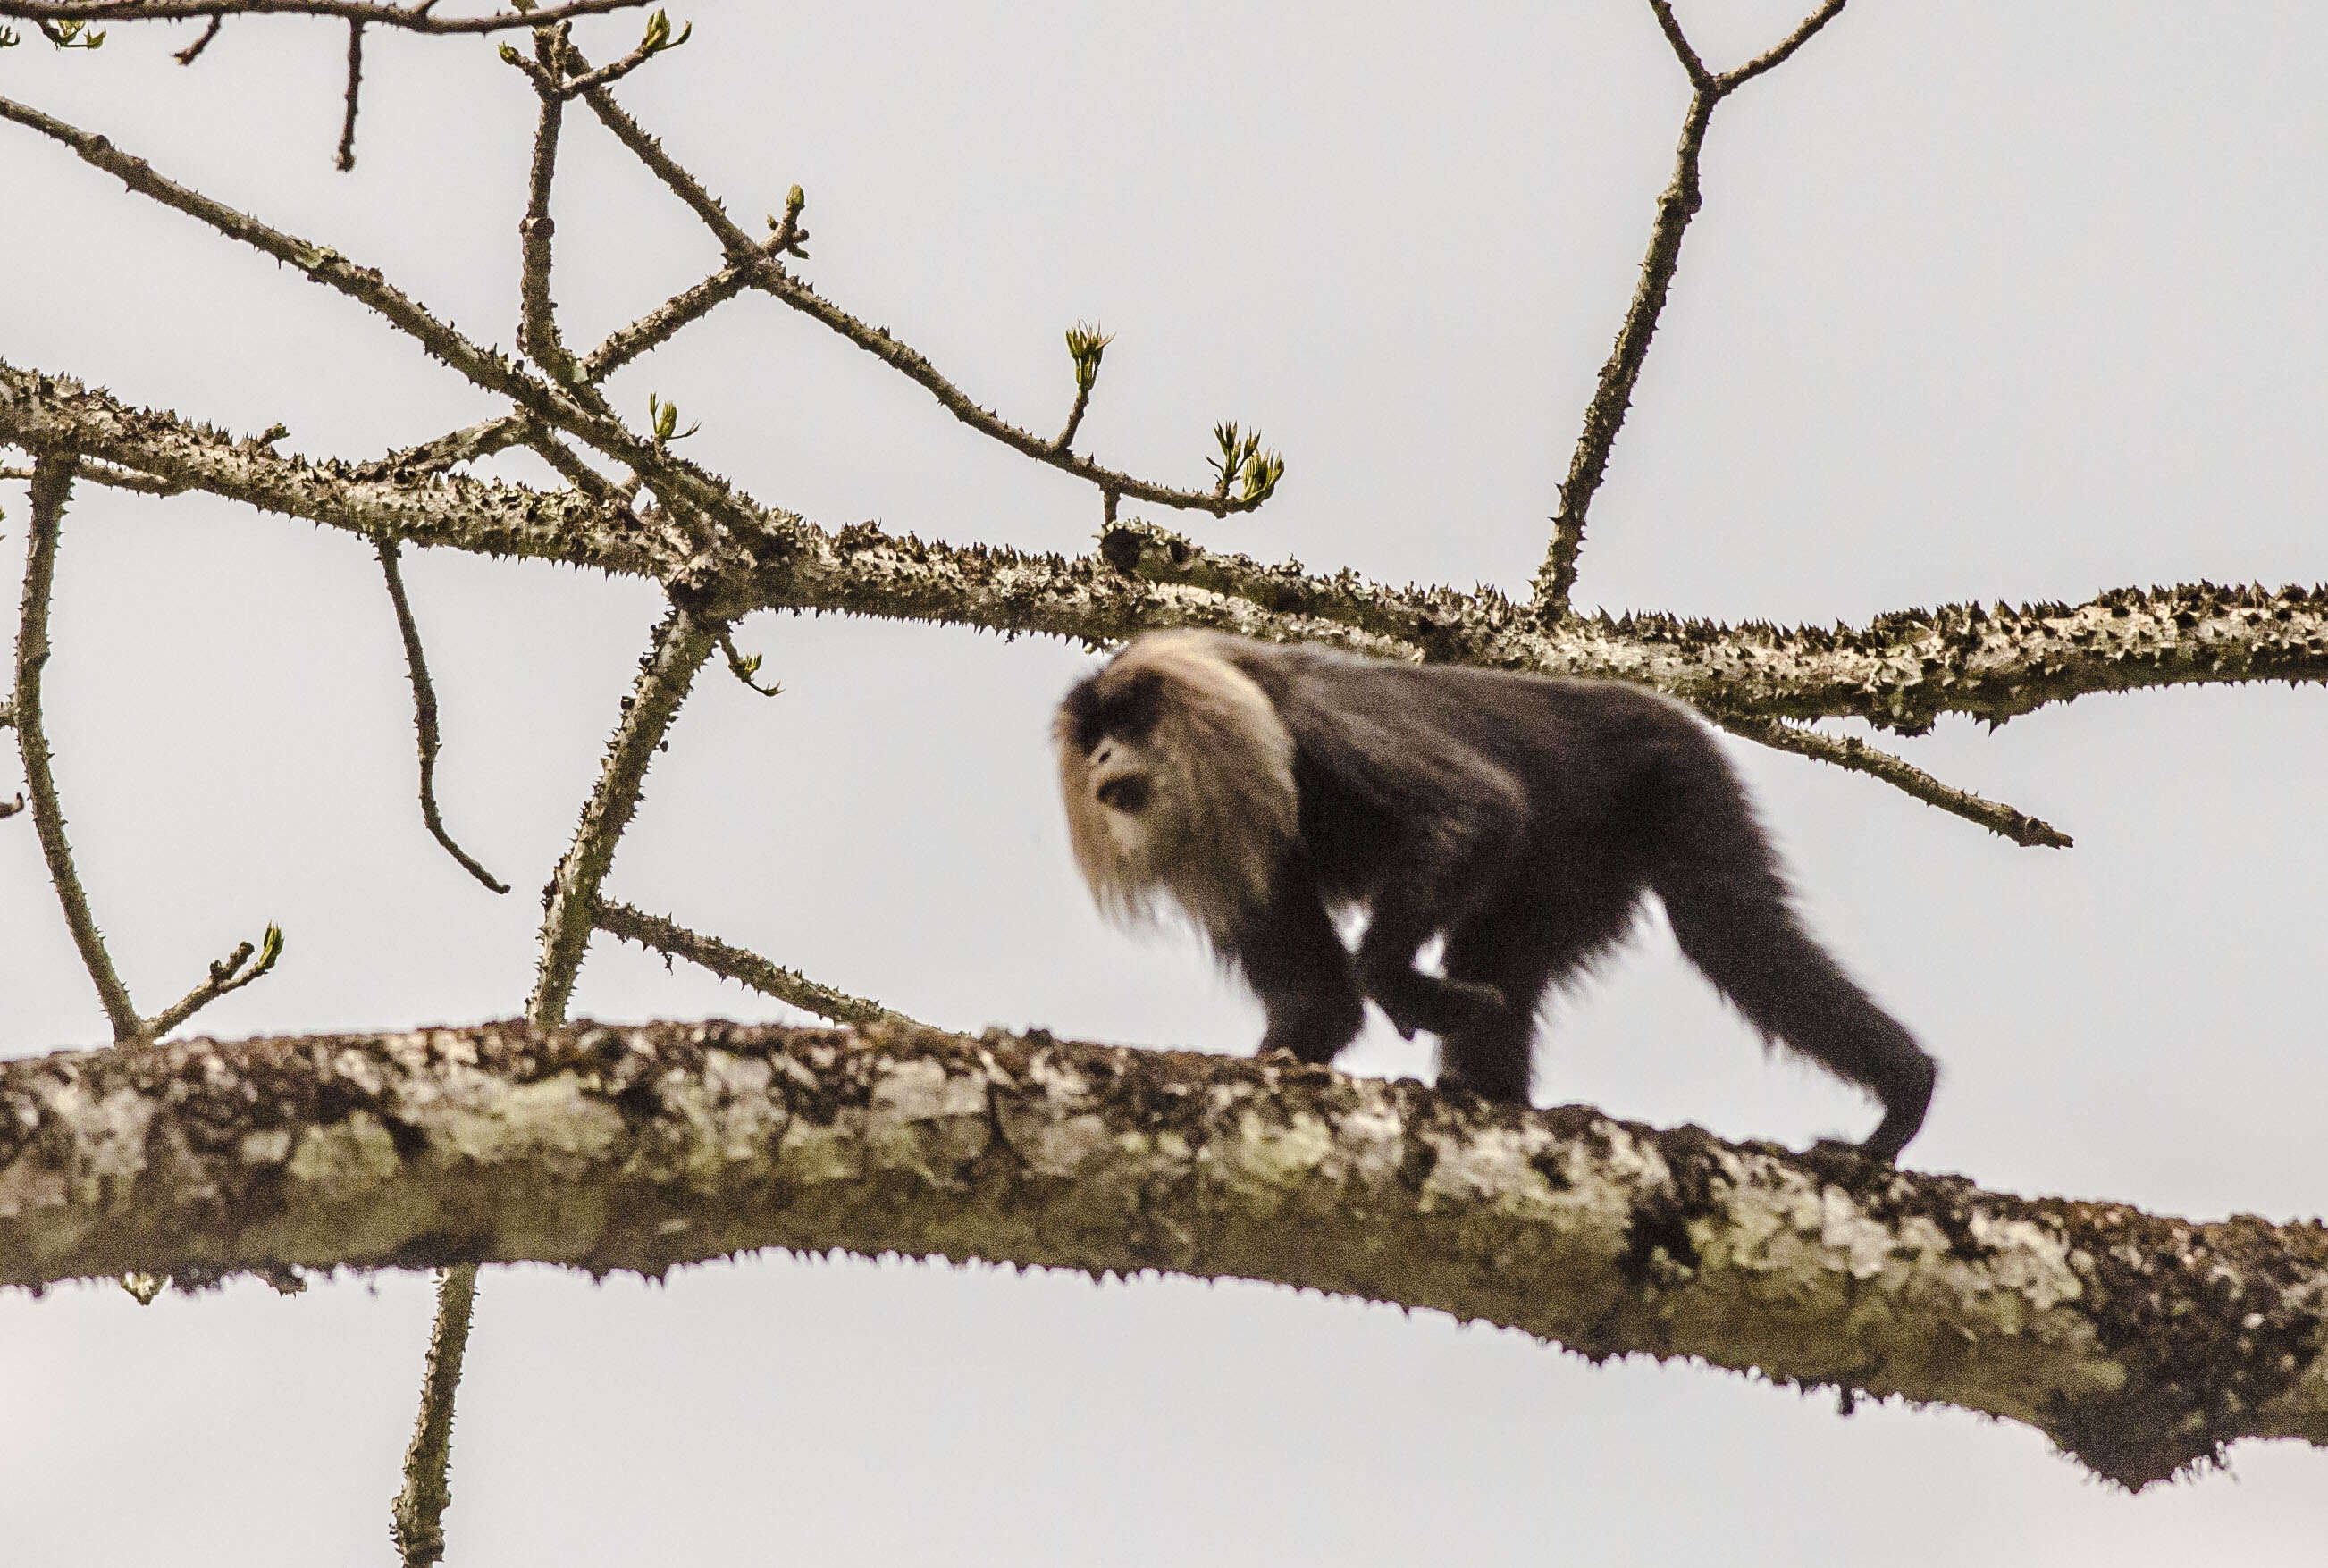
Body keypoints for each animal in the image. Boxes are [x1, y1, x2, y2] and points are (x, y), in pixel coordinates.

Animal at [1061, 628, 1946, 1158]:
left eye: (1132, 722)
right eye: (1093, 735)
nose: (1101, 755)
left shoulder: (1321, 723)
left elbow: (1477, 811)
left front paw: (1398, 983)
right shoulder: (1244, 851)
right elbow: (1320, 1006)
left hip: (1667, 771)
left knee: (1731, 929)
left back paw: (1905, 1092)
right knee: (1503, 952)